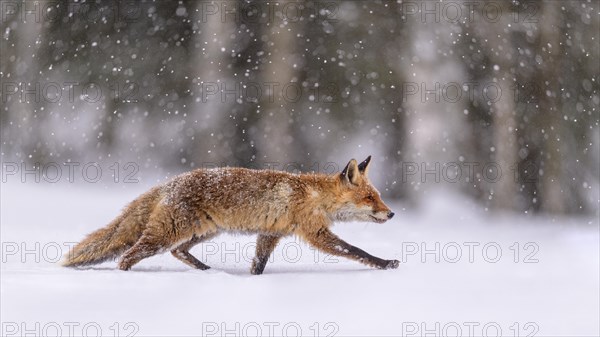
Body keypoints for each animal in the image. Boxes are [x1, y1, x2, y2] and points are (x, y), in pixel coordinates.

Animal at [63, 156, 398, 274]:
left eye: (378, 196)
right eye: (370, 198)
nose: (392, 213)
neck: (315, 196)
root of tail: (169, 183)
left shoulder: (270, 233)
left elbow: (259, 263)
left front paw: (253, 281)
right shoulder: (315, 232)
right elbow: (355, 250)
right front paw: (385, 263)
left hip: (203, 232)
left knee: (178, 252)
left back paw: (207, 271)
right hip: (168, 233)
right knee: (127, 256)